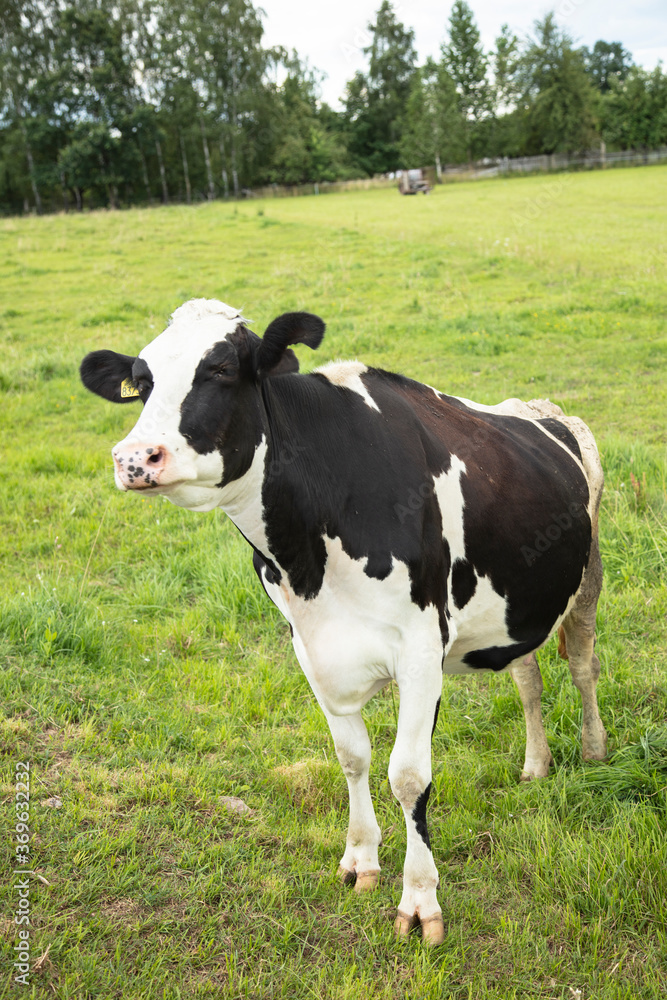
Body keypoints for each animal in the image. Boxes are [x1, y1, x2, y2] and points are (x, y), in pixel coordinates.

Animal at [81, 296, 608, 944]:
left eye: (223, 369)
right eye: (143, 380)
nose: (135, 458)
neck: (310, 560)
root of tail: (537, 409)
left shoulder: (421, 649)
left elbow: (408, 776)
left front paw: (420, 902)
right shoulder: (312, 647)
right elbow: (352, 757)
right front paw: (361, 860)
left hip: (587, 580)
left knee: (582, 665)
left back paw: (593, 749)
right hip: (519, 604)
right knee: (528, 677)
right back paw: (536, 765)